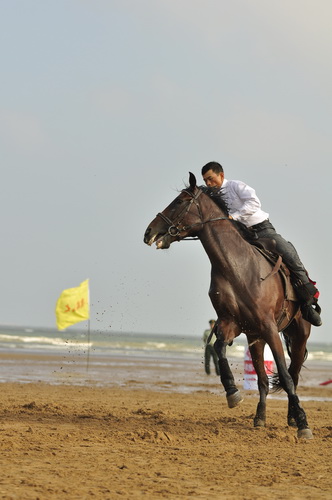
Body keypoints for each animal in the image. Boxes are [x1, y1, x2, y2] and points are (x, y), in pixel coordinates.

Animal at [144, 172, 312, 438]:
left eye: (179, 201)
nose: (149, 231)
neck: (237, 268)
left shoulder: (269, 327)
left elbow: (285, 377)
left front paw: (304, 425)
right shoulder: (232, 323)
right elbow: (219, 347)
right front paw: (232, 392)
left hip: (298, 335)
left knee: (292, 374)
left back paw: (293, 419)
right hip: (256, 339)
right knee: (263, 380)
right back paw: (260, 418)